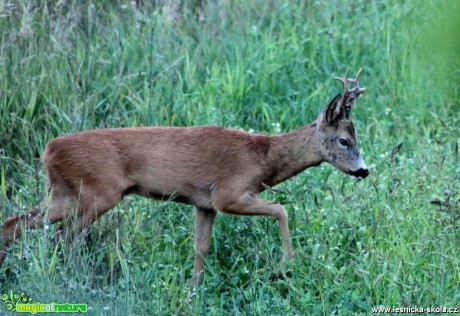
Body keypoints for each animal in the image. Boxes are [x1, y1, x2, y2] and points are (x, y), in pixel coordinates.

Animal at [0, 68, 366, 286]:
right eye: (344, 140)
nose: (363, 170)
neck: (263, 158)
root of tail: (48, 150)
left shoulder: (204, 204)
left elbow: (200, 249)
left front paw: (193, 292)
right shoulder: (229, 193)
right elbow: (282, 210)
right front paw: (284, 266)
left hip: (63, 194)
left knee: (16, 224)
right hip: (96, 194)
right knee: (63, 239)